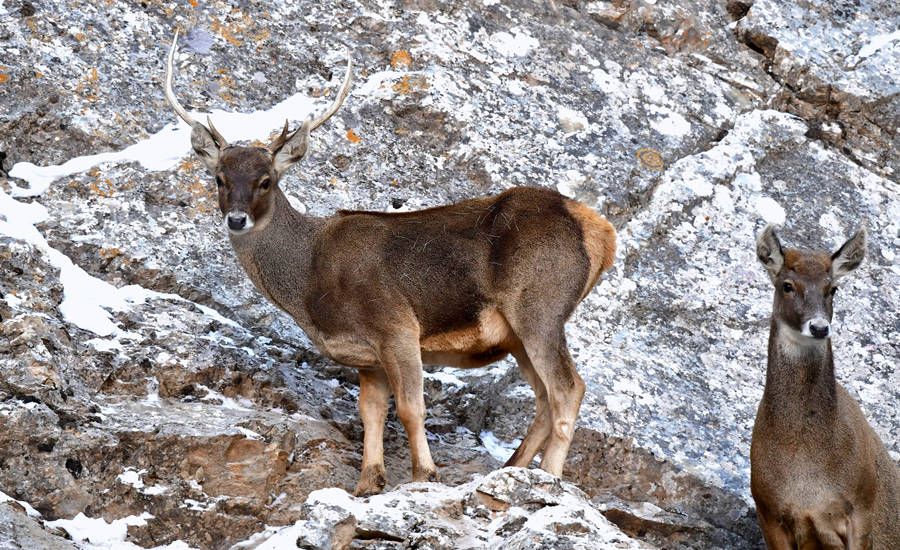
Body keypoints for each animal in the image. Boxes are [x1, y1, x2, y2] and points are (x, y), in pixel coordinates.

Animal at [163, 29, 620, 496]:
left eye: (265, 181)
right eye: (219, 178)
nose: (236, 219)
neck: (310, 282)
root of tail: (602, 233)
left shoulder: (395, 324)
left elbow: (410, 408)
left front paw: (425, 475)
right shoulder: (367, 357)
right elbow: (371, 413)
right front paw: (368, 482)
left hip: (540, 304)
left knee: (568, 388)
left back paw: (550, 477)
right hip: (516, 334)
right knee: (544, 397)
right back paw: (512, 469)